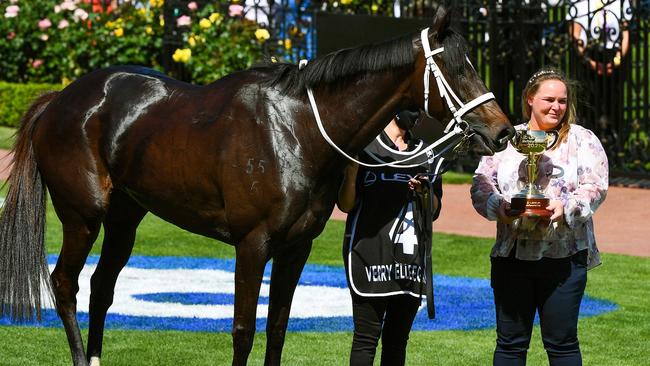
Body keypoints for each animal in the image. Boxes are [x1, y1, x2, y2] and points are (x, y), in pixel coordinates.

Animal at [1, 5, 512, 366]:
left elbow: (278, 327)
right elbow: (244, 329)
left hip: (125, 217)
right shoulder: (252, 244)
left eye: (472, 64)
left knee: (102, 288)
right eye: (457, 69)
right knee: (64, 285)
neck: (296, 128)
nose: (502, 131)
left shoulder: (295, 248)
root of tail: (60, 99)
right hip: (82, 216)